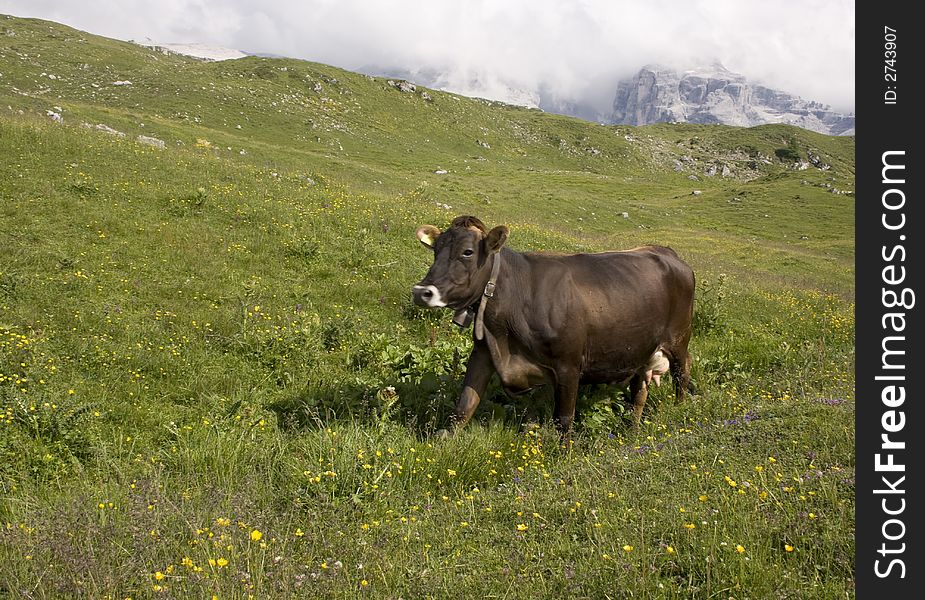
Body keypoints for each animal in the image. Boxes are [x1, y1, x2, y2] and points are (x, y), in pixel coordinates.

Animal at [412, 218, 692, 434]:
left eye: (467, 252)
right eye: (436, 250)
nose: (421, 292)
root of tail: (666, 251)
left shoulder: (569, 365)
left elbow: (564, 419)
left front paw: (563, 457)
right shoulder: (483, 353)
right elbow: (464, 406)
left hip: (679, 339)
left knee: (682, 375)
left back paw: (680, 413)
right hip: (641, 350)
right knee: (639, 394)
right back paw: (632, 430)